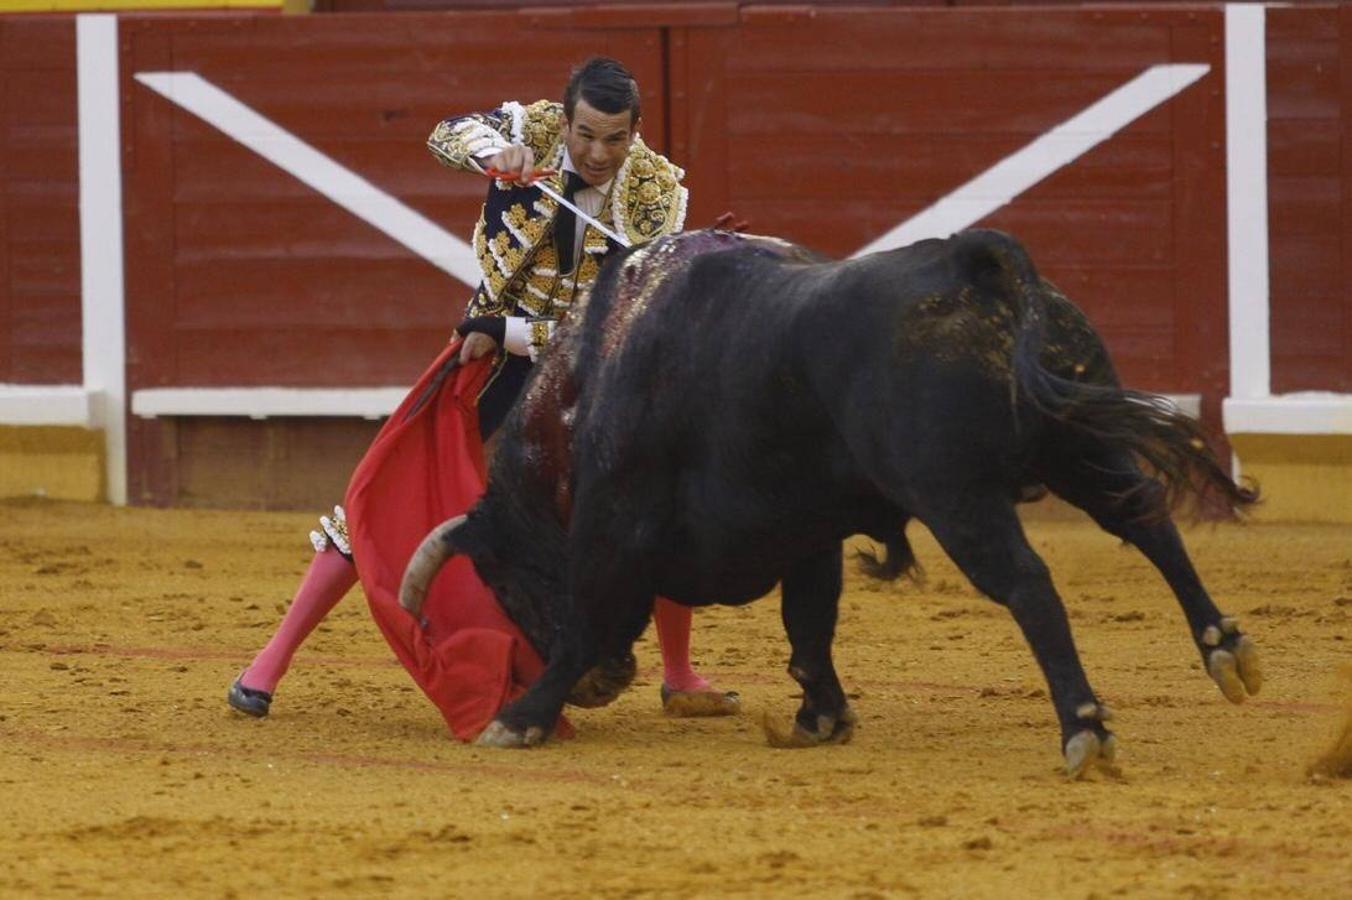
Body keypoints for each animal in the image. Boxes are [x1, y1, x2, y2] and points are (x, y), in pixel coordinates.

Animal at [394, 228, 1260, 772]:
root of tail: (969, 263)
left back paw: (1083, 726)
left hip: (955, 494)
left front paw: (520, 718)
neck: (591, 379)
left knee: (1027, 583)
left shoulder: (613, 526)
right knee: (1145, 519)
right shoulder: (807, 532)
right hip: (1079, 444)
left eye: (504, 585)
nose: (601, 688)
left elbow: (584, 618)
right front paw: (821, 719)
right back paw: (1225, 649)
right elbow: (810, 623)